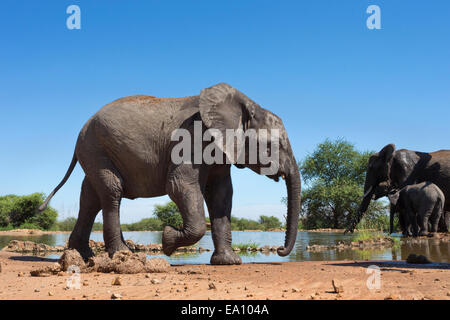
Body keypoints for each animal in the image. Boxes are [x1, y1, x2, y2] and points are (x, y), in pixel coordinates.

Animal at [38, 82, 300, 264]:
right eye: (272, 145)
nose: (280, 250)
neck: (243, 106)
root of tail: (82, 128)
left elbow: (222, 194)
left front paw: (229, 262)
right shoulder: (192, 138)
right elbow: (179, 186)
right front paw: (167, 241)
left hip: (94, 150)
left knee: (90, 197)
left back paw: (83, 255)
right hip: (96, 147)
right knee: (112, 192)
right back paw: (123, 255)